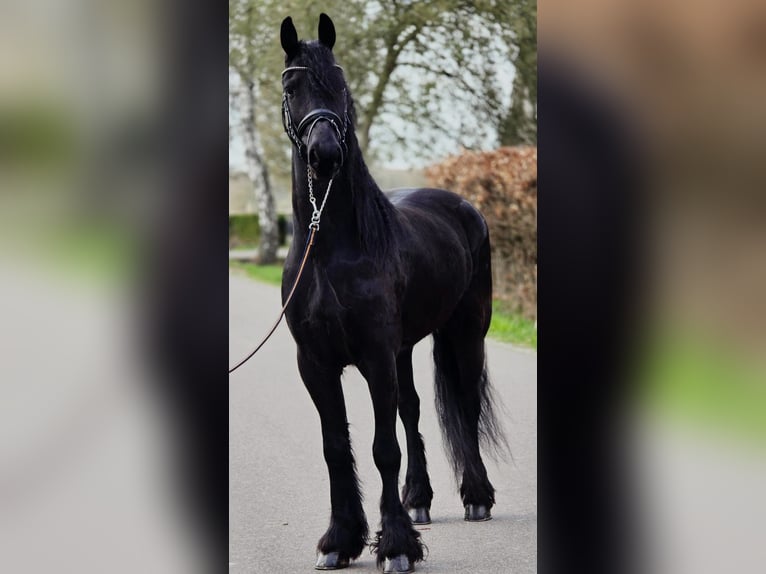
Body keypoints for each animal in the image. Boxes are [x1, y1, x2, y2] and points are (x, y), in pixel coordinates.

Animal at [279, 14, 507, 573]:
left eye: (340, 84)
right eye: (292, 87)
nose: (325, 154)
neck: (331, 250)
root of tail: (464, 207)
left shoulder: (375, 357)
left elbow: (383, 448)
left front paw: (396, 546)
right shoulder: (315, 363)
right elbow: (336, 448)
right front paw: (340, 540)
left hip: (466, 334)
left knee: (466, 406)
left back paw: (476, 497)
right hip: (405, 350)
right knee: (413, 410)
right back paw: (419, 499)